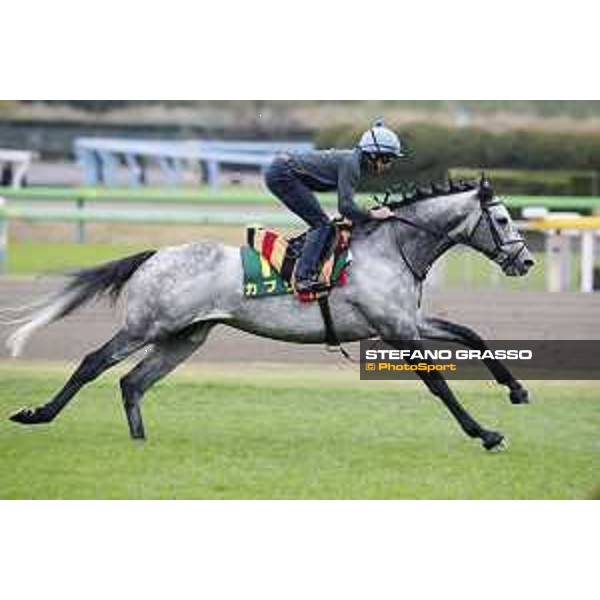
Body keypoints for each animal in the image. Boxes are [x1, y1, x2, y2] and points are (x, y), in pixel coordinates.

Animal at [4, 178, 536, 450]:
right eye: (502, 219)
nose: (526, 261)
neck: (392, 247)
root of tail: (154, 255)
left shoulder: (407, 320)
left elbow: (470, 334)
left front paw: (517, 390)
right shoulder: (394, 329)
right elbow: (438, 383)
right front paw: (485, 433)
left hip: (184, 336)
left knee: (133, 381)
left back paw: (140, 442)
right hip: (146, 325)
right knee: (93, 363)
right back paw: (37, 415)